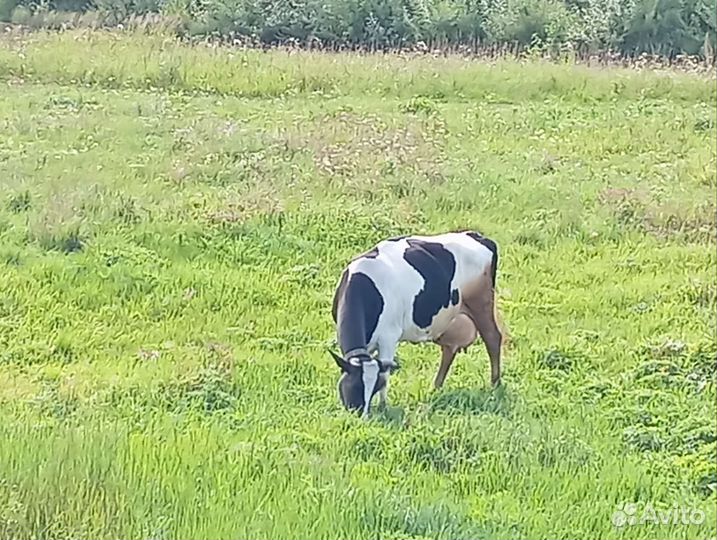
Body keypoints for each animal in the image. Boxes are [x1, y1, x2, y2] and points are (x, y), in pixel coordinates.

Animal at [328, 230, 503, 417]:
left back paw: (495, 384)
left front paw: (383, 406)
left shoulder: (389, 338)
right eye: (354, 387)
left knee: (493, 338)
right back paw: (436, 387)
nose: (363, 415)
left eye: (372, 388)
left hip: (481, 303)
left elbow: (385, 373)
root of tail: (476, 235)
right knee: (450, 349)